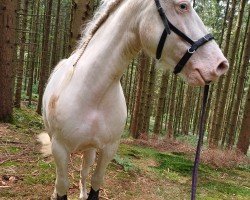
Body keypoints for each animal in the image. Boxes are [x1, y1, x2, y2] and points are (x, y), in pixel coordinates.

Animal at [39, 0, 229, 200]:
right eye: (183, 6)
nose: (220, 65)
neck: (93, 93)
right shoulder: (60, 149)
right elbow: (62, 185)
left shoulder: (109, 149)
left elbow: (96, 182)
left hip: (90, 148)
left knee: (84, 170)